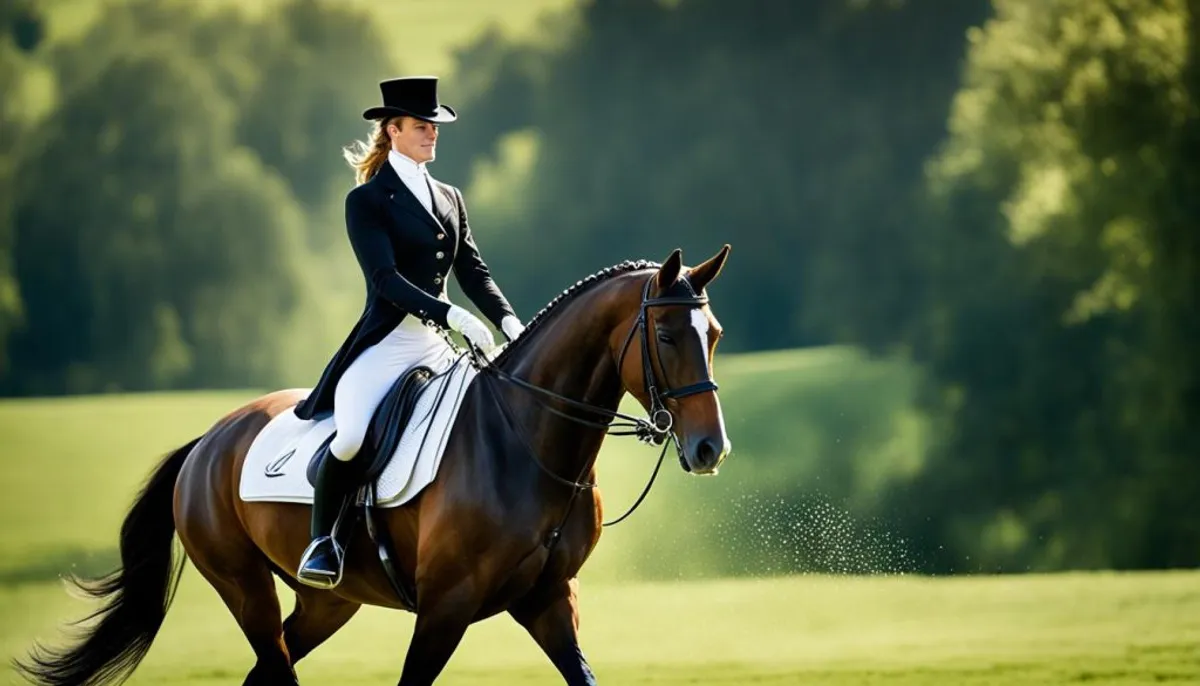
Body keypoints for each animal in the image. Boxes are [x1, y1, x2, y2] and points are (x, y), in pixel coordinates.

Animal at [16, 247, 729, 686]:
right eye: (668, 336)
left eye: (714, 334)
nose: (709, 450)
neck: (525, 440)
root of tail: (207, 442)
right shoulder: (445, 607)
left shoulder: (550, 600)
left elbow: (582, 672)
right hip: (242, 584)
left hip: (328, 603)